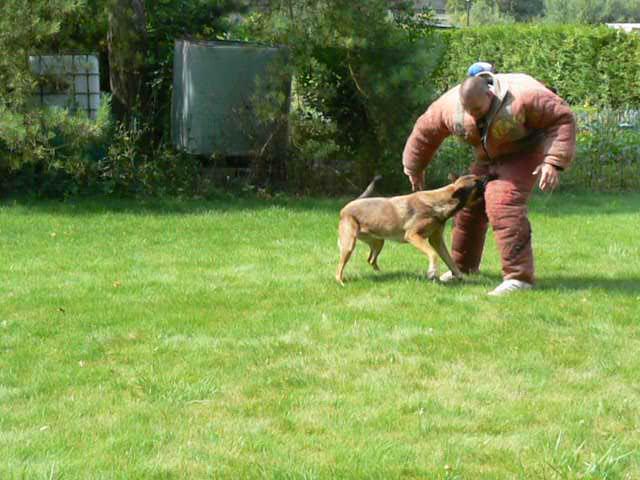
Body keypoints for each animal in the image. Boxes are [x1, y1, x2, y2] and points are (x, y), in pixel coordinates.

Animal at [336, 175, 490, 284]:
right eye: (477, 181)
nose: (489, 177)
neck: (440, 203)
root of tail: (346, 207)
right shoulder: (413, 236)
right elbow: (433, 254)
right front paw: (432, 272)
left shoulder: (437, 241)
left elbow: (450, 261)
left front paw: (460, 276)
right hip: (349, 245)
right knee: (339, 270)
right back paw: (341, 282)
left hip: (378, 242)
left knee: (370, 259)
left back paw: (380, 273)